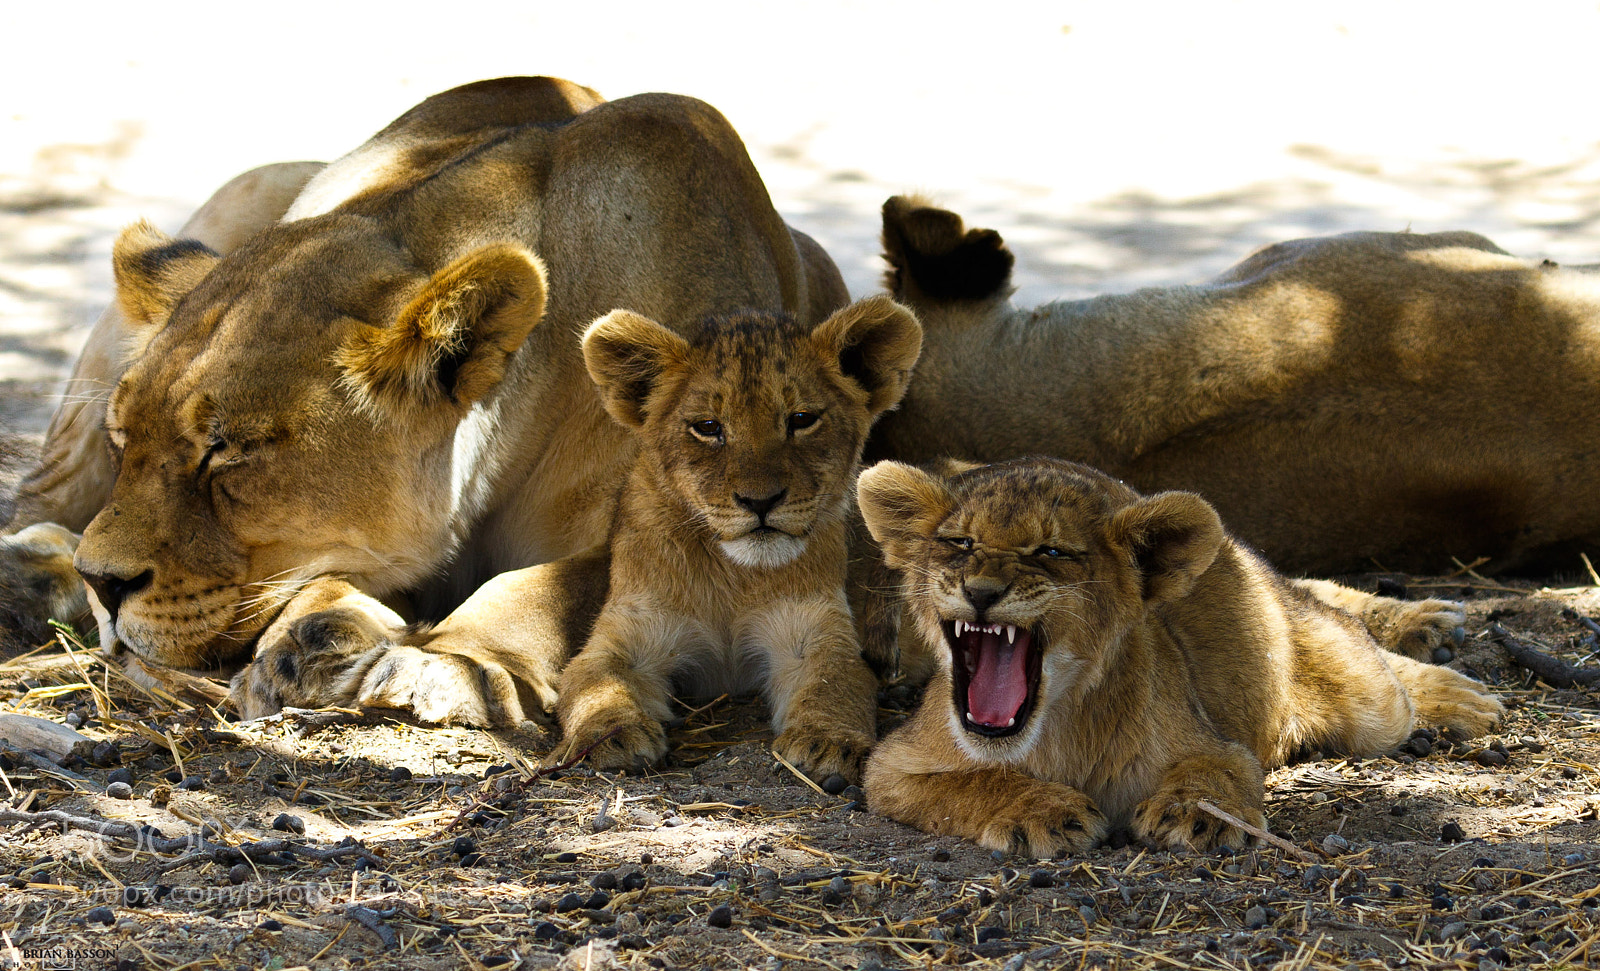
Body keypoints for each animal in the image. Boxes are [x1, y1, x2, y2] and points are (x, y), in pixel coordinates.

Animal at [0, 77, 847, 725]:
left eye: (227, 452)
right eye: (123, 441)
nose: (107, 585)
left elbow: (553, 584)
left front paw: (441, 662)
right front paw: (323, 630)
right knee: (40, 498)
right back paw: (34, 571)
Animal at [548, 296, 921, 783]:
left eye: (802, 420)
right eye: (708, 427)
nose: (760, 501)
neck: (733, 575)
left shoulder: (813, 631)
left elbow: (836, 681)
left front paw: (827, 741)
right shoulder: (630, 631)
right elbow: (595, 681)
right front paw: (610, 735)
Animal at [856, 457, 1504, 856]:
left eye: (1052, 552)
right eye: (960, 542)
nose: (982, 591)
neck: (1055, 726)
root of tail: (1245, 558)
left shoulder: (1220, 746)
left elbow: (1212, 773)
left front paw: (1193, 815)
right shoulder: (892, 768)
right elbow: (973, 783)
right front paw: (1038, 810)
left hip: (1370, 704)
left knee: (1351, 633)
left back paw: (1457, 682)